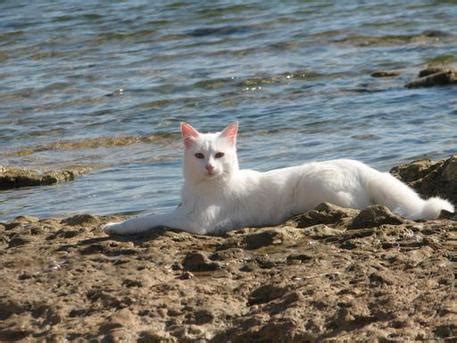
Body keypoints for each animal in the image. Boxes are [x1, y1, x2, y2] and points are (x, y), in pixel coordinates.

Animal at [104, 121, 452, 236]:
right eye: (200, 156)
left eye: (220, 155)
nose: (210, 168)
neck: (201, 187)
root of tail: (360, 166)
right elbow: (153, 213)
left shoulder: (194, 221)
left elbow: (148, 217)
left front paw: (114, 226)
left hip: (319, 186)